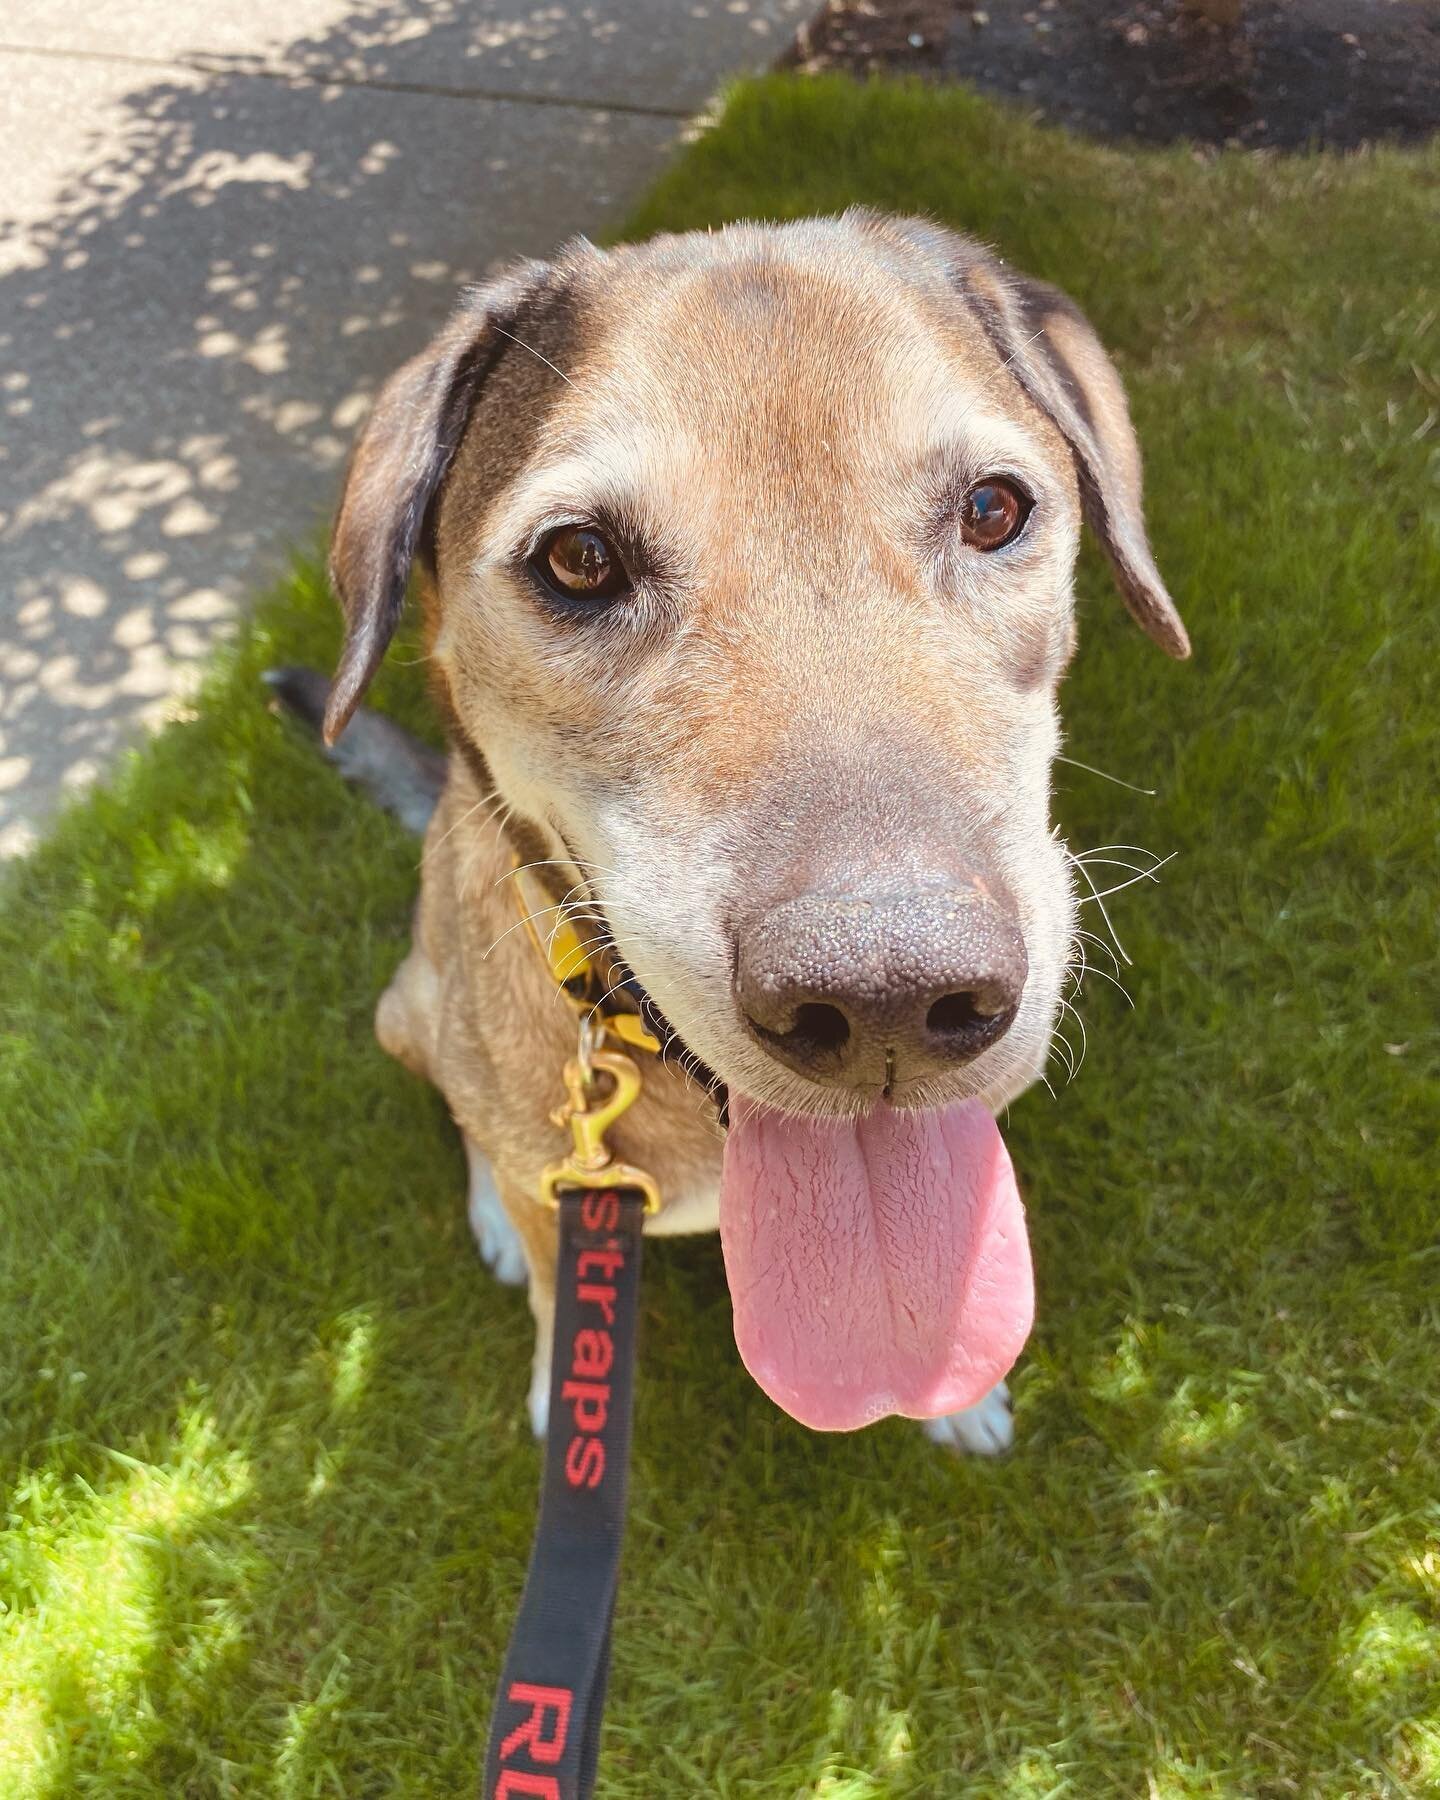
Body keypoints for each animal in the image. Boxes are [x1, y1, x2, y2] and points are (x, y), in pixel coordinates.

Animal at [275, 204, 1188, 1454]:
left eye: (995, 509)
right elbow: (558, 1285)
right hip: (406, 1006)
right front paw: (557, 1373)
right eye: (578, 558)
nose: (888, 993)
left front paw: (965, 1400)